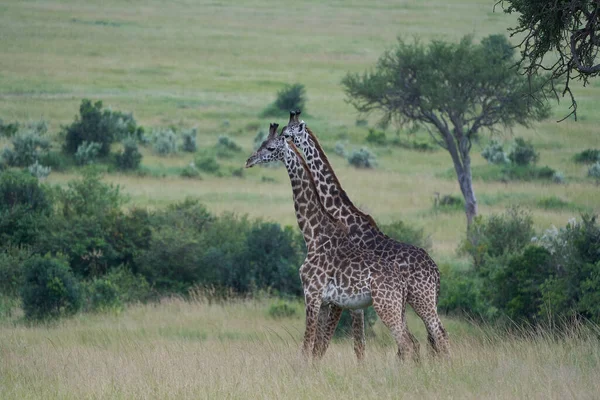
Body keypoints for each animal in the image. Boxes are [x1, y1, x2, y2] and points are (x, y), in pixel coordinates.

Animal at [246, 122, 414, 360]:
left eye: (270, 147)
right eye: (261, 143)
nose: (249, 160)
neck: (313, 235)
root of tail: (402, 284)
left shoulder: (312, 295)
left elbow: (306, 347)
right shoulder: (326, 302)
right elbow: (317, 347)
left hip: (386, 305)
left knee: (407, 345)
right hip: (398, 308)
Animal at [284, 111, 448, 354]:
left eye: (289, 132)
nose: (282, 138)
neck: (345, 217)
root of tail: (436, 272)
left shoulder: (344, 296)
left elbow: (348, 340)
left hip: (421, 298)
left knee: (437, 334)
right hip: (417, 300)